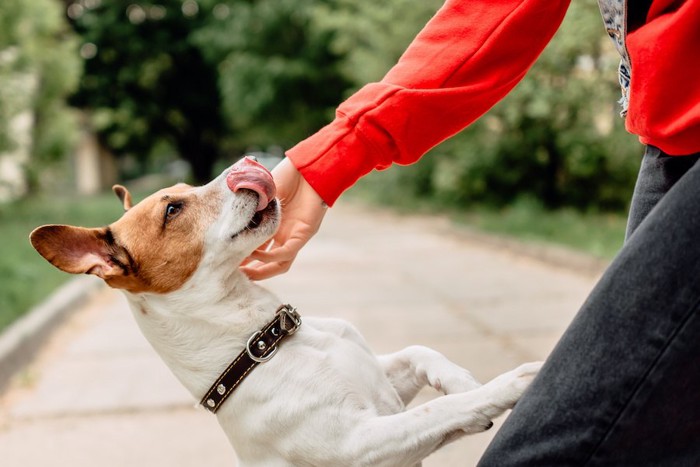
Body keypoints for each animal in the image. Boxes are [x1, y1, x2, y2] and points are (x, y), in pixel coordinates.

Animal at [30, 158, 544, 467]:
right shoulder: (362, 445)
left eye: (183, 188)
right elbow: (438, 410)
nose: (247, 165)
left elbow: (423, 353)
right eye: (173, 210)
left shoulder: (381, 380)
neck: (265, 338)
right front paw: (510, 384)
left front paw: (464, 379)